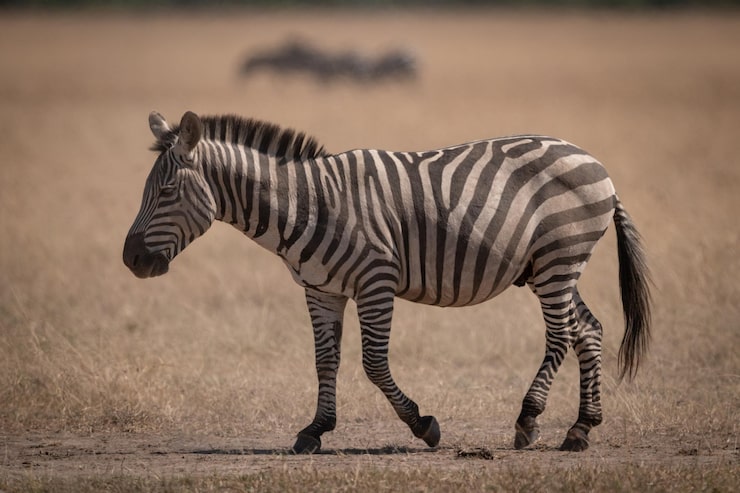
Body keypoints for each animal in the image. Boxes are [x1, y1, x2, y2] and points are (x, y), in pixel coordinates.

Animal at [123, 111, 651, 454]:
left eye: (166, 191)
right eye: (148, 190)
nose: (130, 260)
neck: (309, 204)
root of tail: (594, 162)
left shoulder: (376, 280)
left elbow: (374, 364)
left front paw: (424, 426)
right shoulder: (321, 290)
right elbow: (325, 362)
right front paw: (315, 429)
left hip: (560, 256)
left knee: (561, 334)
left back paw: (528, 420)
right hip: (550, 266)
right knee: (589, 330)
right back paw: (580, 430)